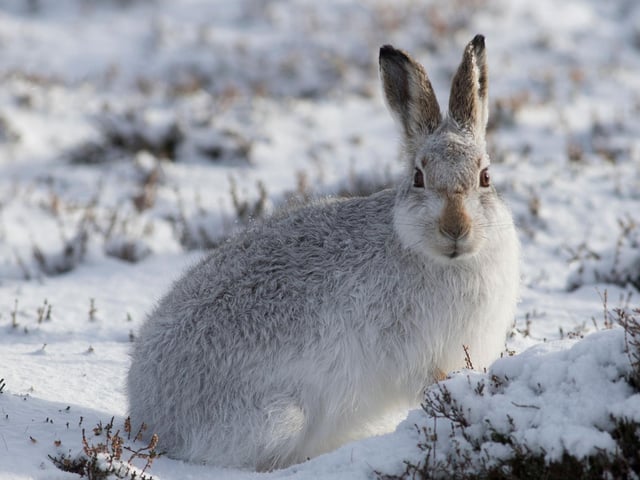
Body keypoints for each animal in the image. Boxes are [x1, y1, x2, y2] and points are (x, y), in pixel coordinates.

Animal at [127, 34, 519, 472]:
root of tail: (147, 417)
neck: (426, 252)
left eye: (485, 177)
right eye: (419, 178)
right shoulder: (420, 355)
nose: (455, 229)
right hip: (280, 420)